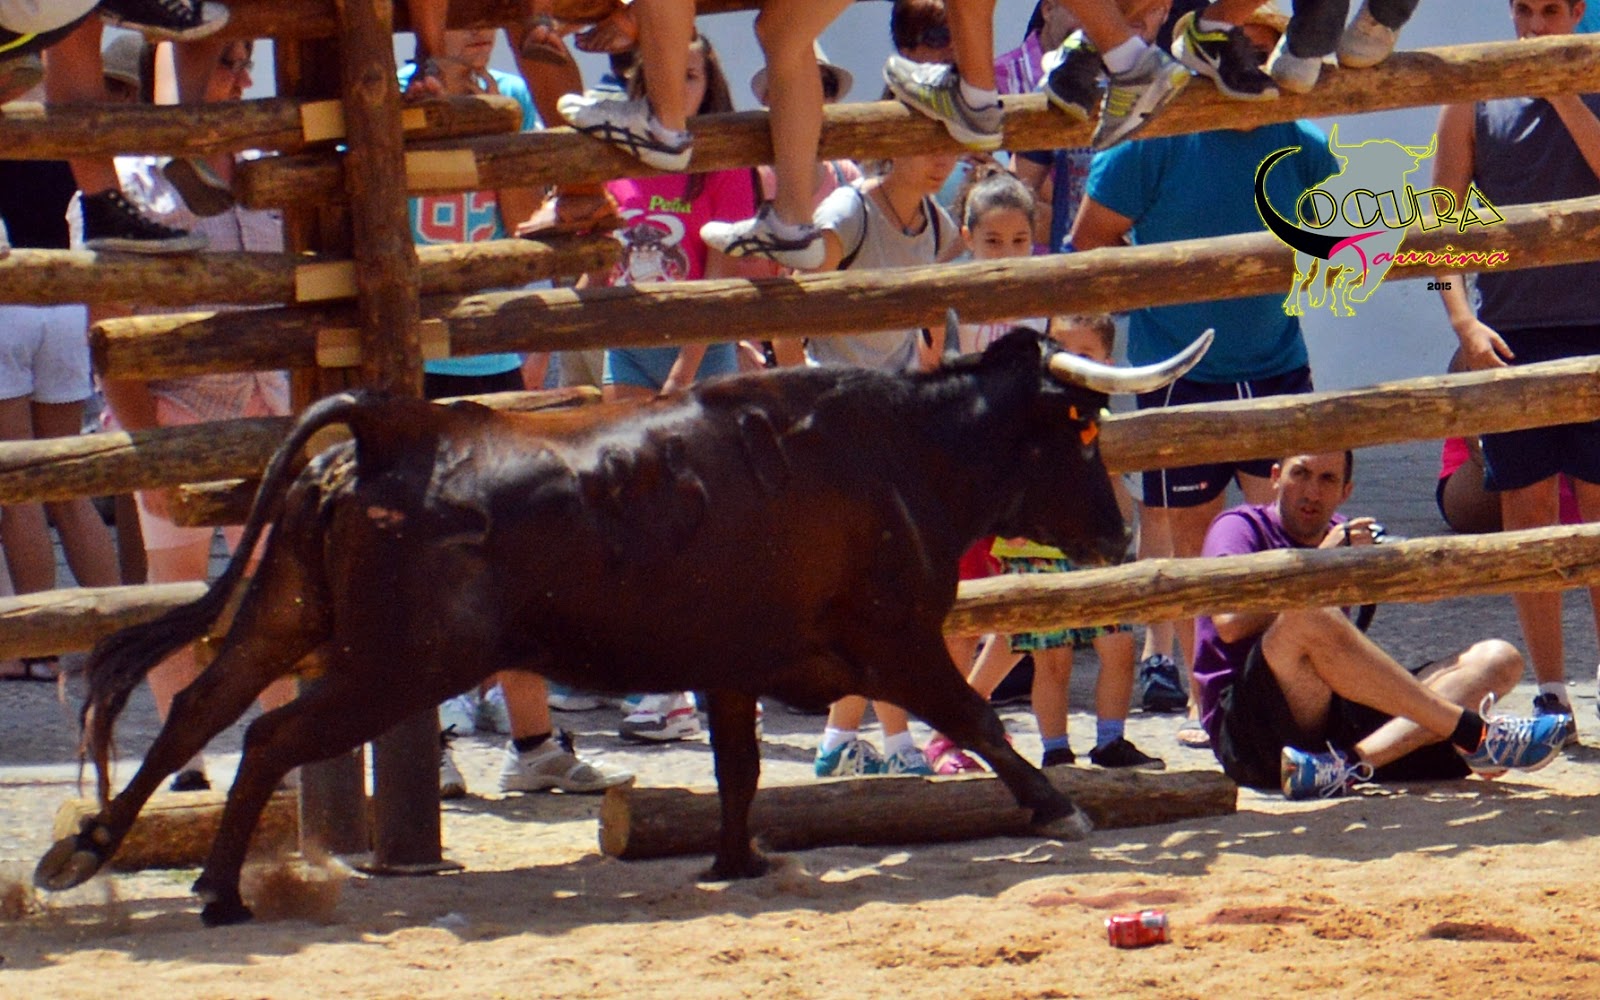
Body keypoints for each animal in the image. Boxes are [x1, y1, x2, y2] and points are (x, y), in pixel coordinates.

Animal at [36, 324, 1210, 926]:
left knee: (198, 707)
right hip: (396, 666)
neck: (896, 451)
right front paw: (1059, 808)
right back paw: (215, 891)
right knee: (269, 736)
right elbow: (977, 715)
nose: (1117, 534)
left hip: (287, 617)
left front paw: (737, 859)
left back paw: (93, 854)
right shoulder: (893, 640)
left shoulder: (733, 662)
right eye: (1084, 431)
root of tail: (387, 432)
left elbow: (738, 762)